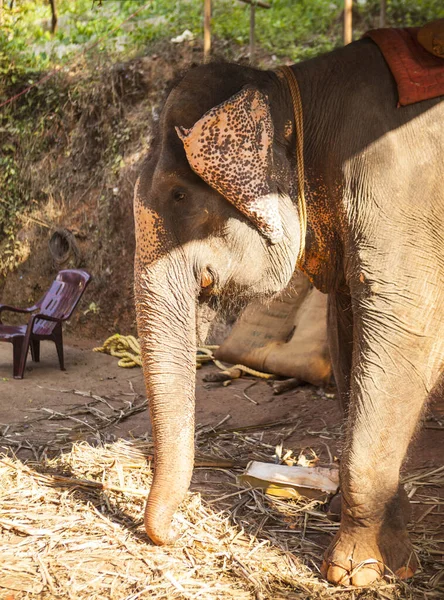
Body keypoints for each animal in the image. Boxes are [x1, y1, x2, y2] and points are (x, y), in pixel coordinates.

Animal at [133, 38, 444, 592]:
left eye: (179, 195)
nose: (172, 535)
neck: (299, 93)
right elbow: (348, 332)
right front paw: (392, 556)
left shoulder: (403, 198)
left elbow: (405, 326)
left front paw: (352, 574)